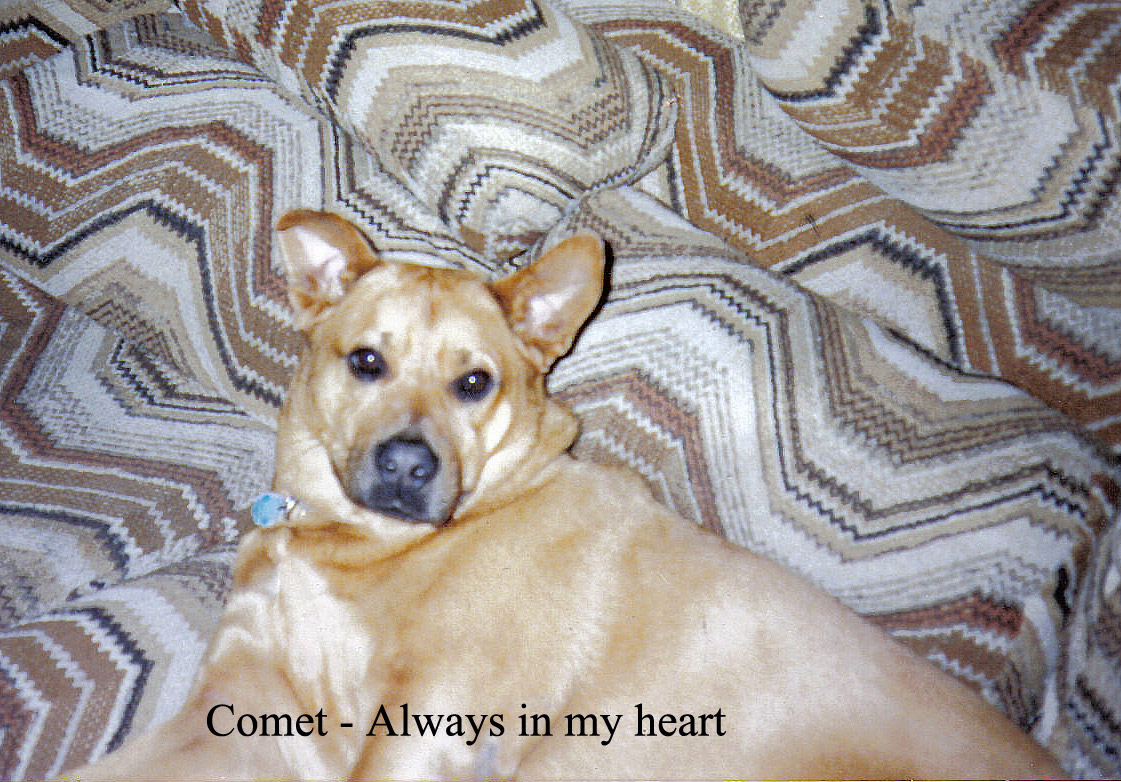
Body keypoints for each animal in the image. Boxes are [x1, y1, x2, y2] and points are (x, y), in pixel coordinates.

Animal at [66, 210, 1064, 779]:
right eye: (366, 362)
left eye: (474, 383)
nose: (407, 466)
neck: (358, 543)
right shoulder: (238, 711)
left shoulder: (424, 723)